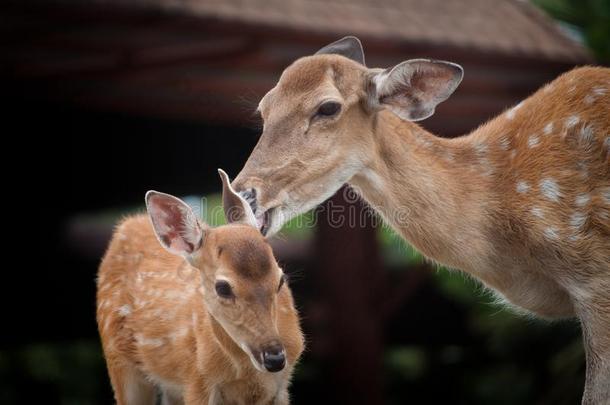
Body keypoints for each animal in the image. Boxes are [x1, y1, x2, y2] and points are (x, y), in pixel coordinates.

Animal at [96, 170, 302, 404]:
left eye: (281, 279)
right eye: (222, 287)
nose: (275, 358)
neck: (246, 374)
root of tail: (128, 223)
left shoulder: (282, 385)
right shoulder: (197, 379)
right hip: (117, 358)